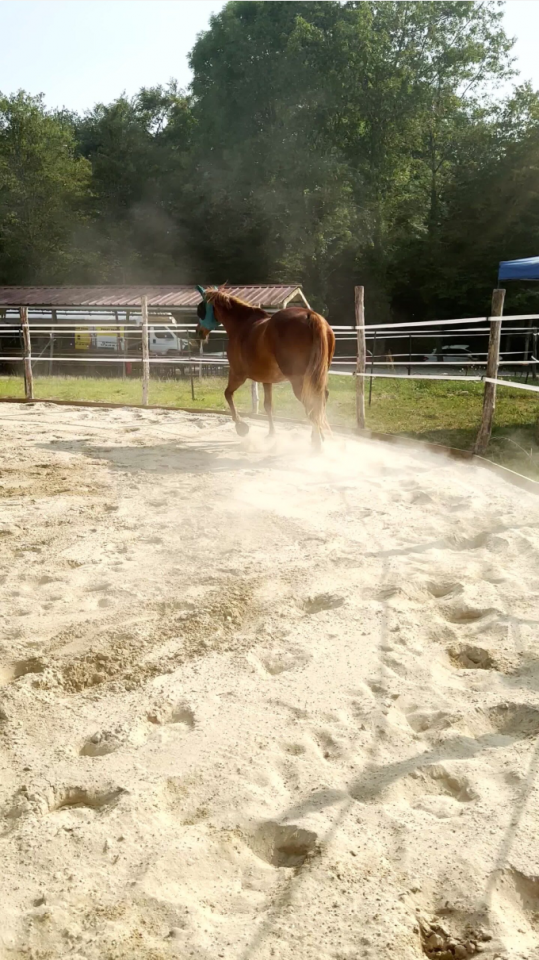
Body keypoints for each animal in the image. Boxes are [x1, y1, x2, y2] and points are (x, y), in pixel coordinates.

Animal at [195, 287, 335, 449]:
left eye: (200, 308)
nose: (198, 332)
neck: (242, 325)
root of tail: (310, 315)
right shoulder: (267, 380)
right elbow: (268, 406)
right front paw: (271, 433)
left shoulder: (237, 374)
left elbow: (228, 394)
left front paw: (241, 426)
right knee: (319, 401)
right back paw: (319, 437)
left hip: (299, 380)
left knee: (312, 404)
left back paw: (317, 443)